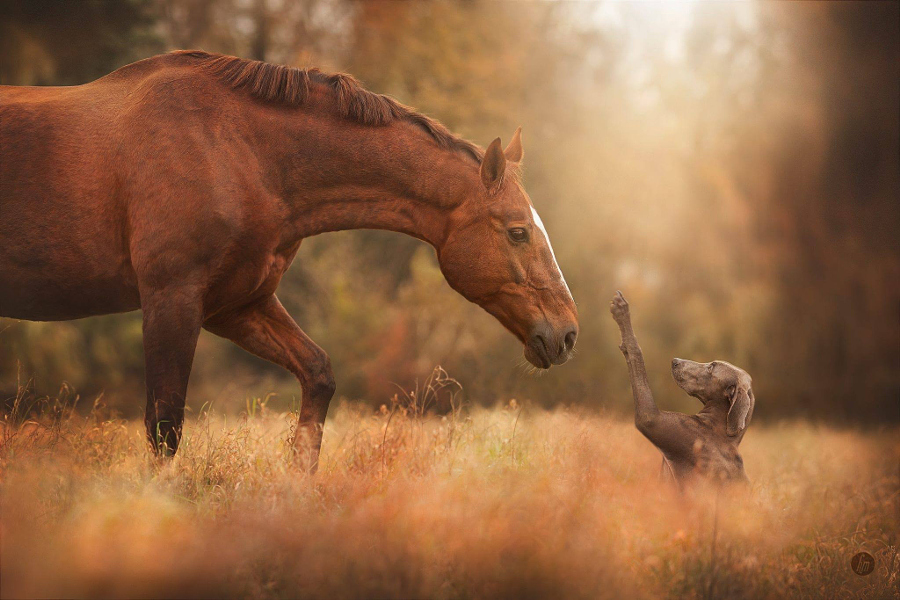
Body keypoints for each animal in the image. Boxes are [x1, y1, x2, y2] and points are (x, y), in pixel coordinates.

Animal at [0, 51, 576, 468]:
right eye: (518, 232)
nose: (567, 333)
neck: (238, 149)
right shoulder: (172, 300)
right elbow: (164, 427)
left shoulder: (235, 305)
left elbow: (318, 376)